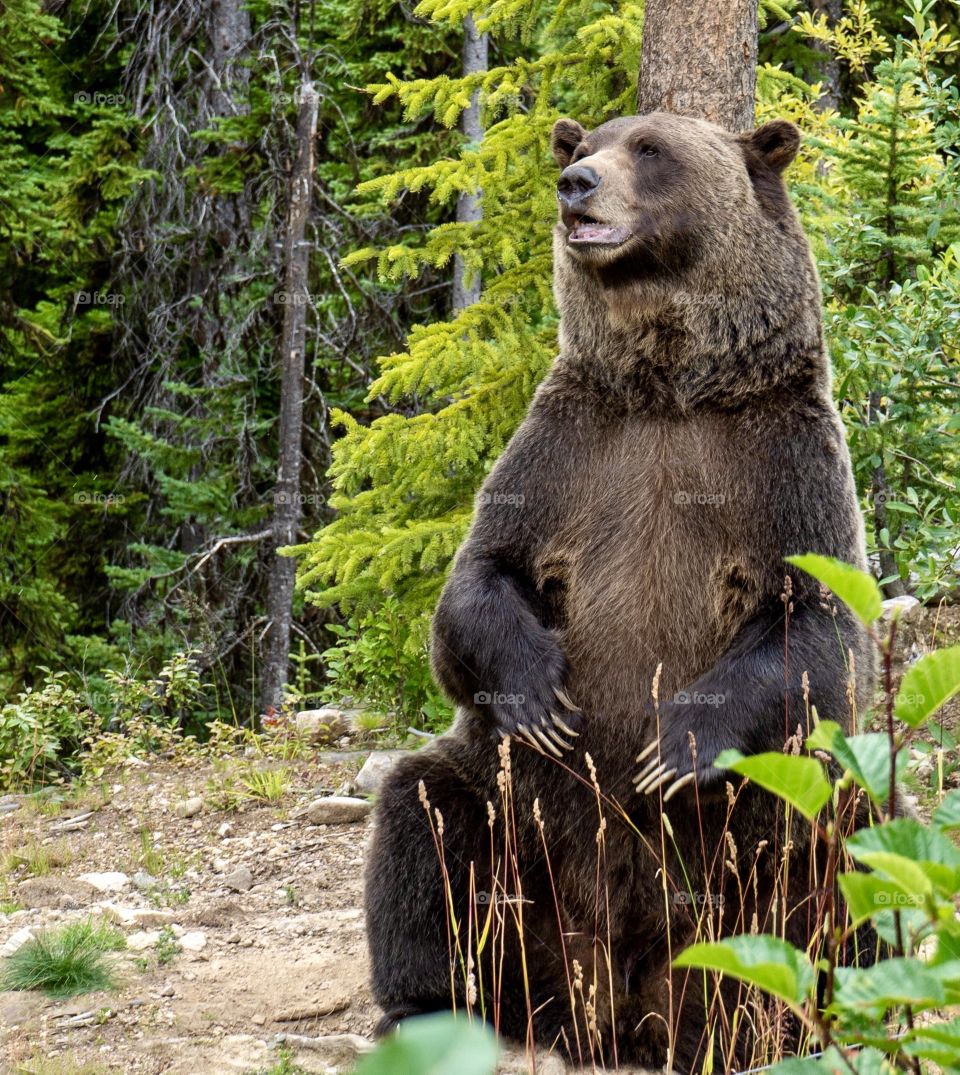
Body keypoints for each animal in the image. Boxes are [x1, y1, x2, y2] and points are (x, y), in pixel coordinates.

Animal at [365, 111, 876, 1072]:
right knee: (426, 823)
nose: (577, 185)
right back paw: (425, 1006)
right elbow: (480, 578)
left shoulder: (780, 458)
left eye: (651, 150)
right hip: (518, 826)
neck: (671, 385)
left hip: (771, 836)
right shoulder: (572, 443)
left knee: (848, 858)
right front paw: (540, 696)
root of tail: (621, 1012)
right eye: (587, 143)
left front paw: (672, 745)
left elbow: (816, 621)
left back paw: (815, 1018)